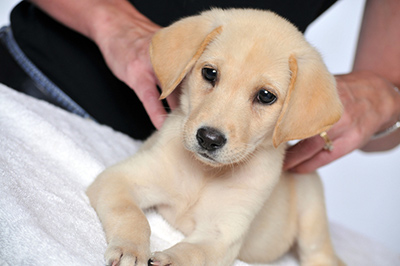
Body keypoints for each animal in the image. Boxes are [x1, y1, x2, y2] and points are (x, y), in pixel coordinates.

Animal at [87, 8, 344, 266]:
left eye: (265, 96)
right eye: (210, 73)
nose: (209, 139)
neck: (205, 174)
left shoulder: (222, 235)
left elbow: (193, 252)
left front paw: (171, 259)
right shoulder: (121, 178)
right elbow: (132, 215)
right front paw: (130, 249)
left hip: (312, 208)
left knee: (320, 252)